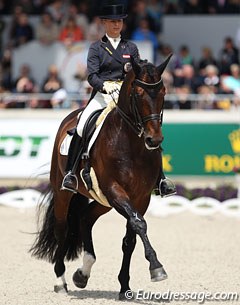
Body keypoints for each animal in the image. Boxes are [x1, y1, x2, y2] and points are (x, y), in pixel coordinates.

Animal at [30, 53, 172, 298]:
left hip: (103, 200)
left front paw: (124, 287)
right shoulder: (115, 190)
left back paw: (83, 273)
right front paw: (156, 268)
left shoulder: (140, 198)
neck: (132, 144)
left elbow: (130, 238)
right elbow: (139, 224)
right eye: (138, 93)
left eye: (163, 92)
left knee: (85, 218)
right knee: (62, 229)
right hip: (64, 192)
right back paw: (61, 281)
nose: (154, 140)